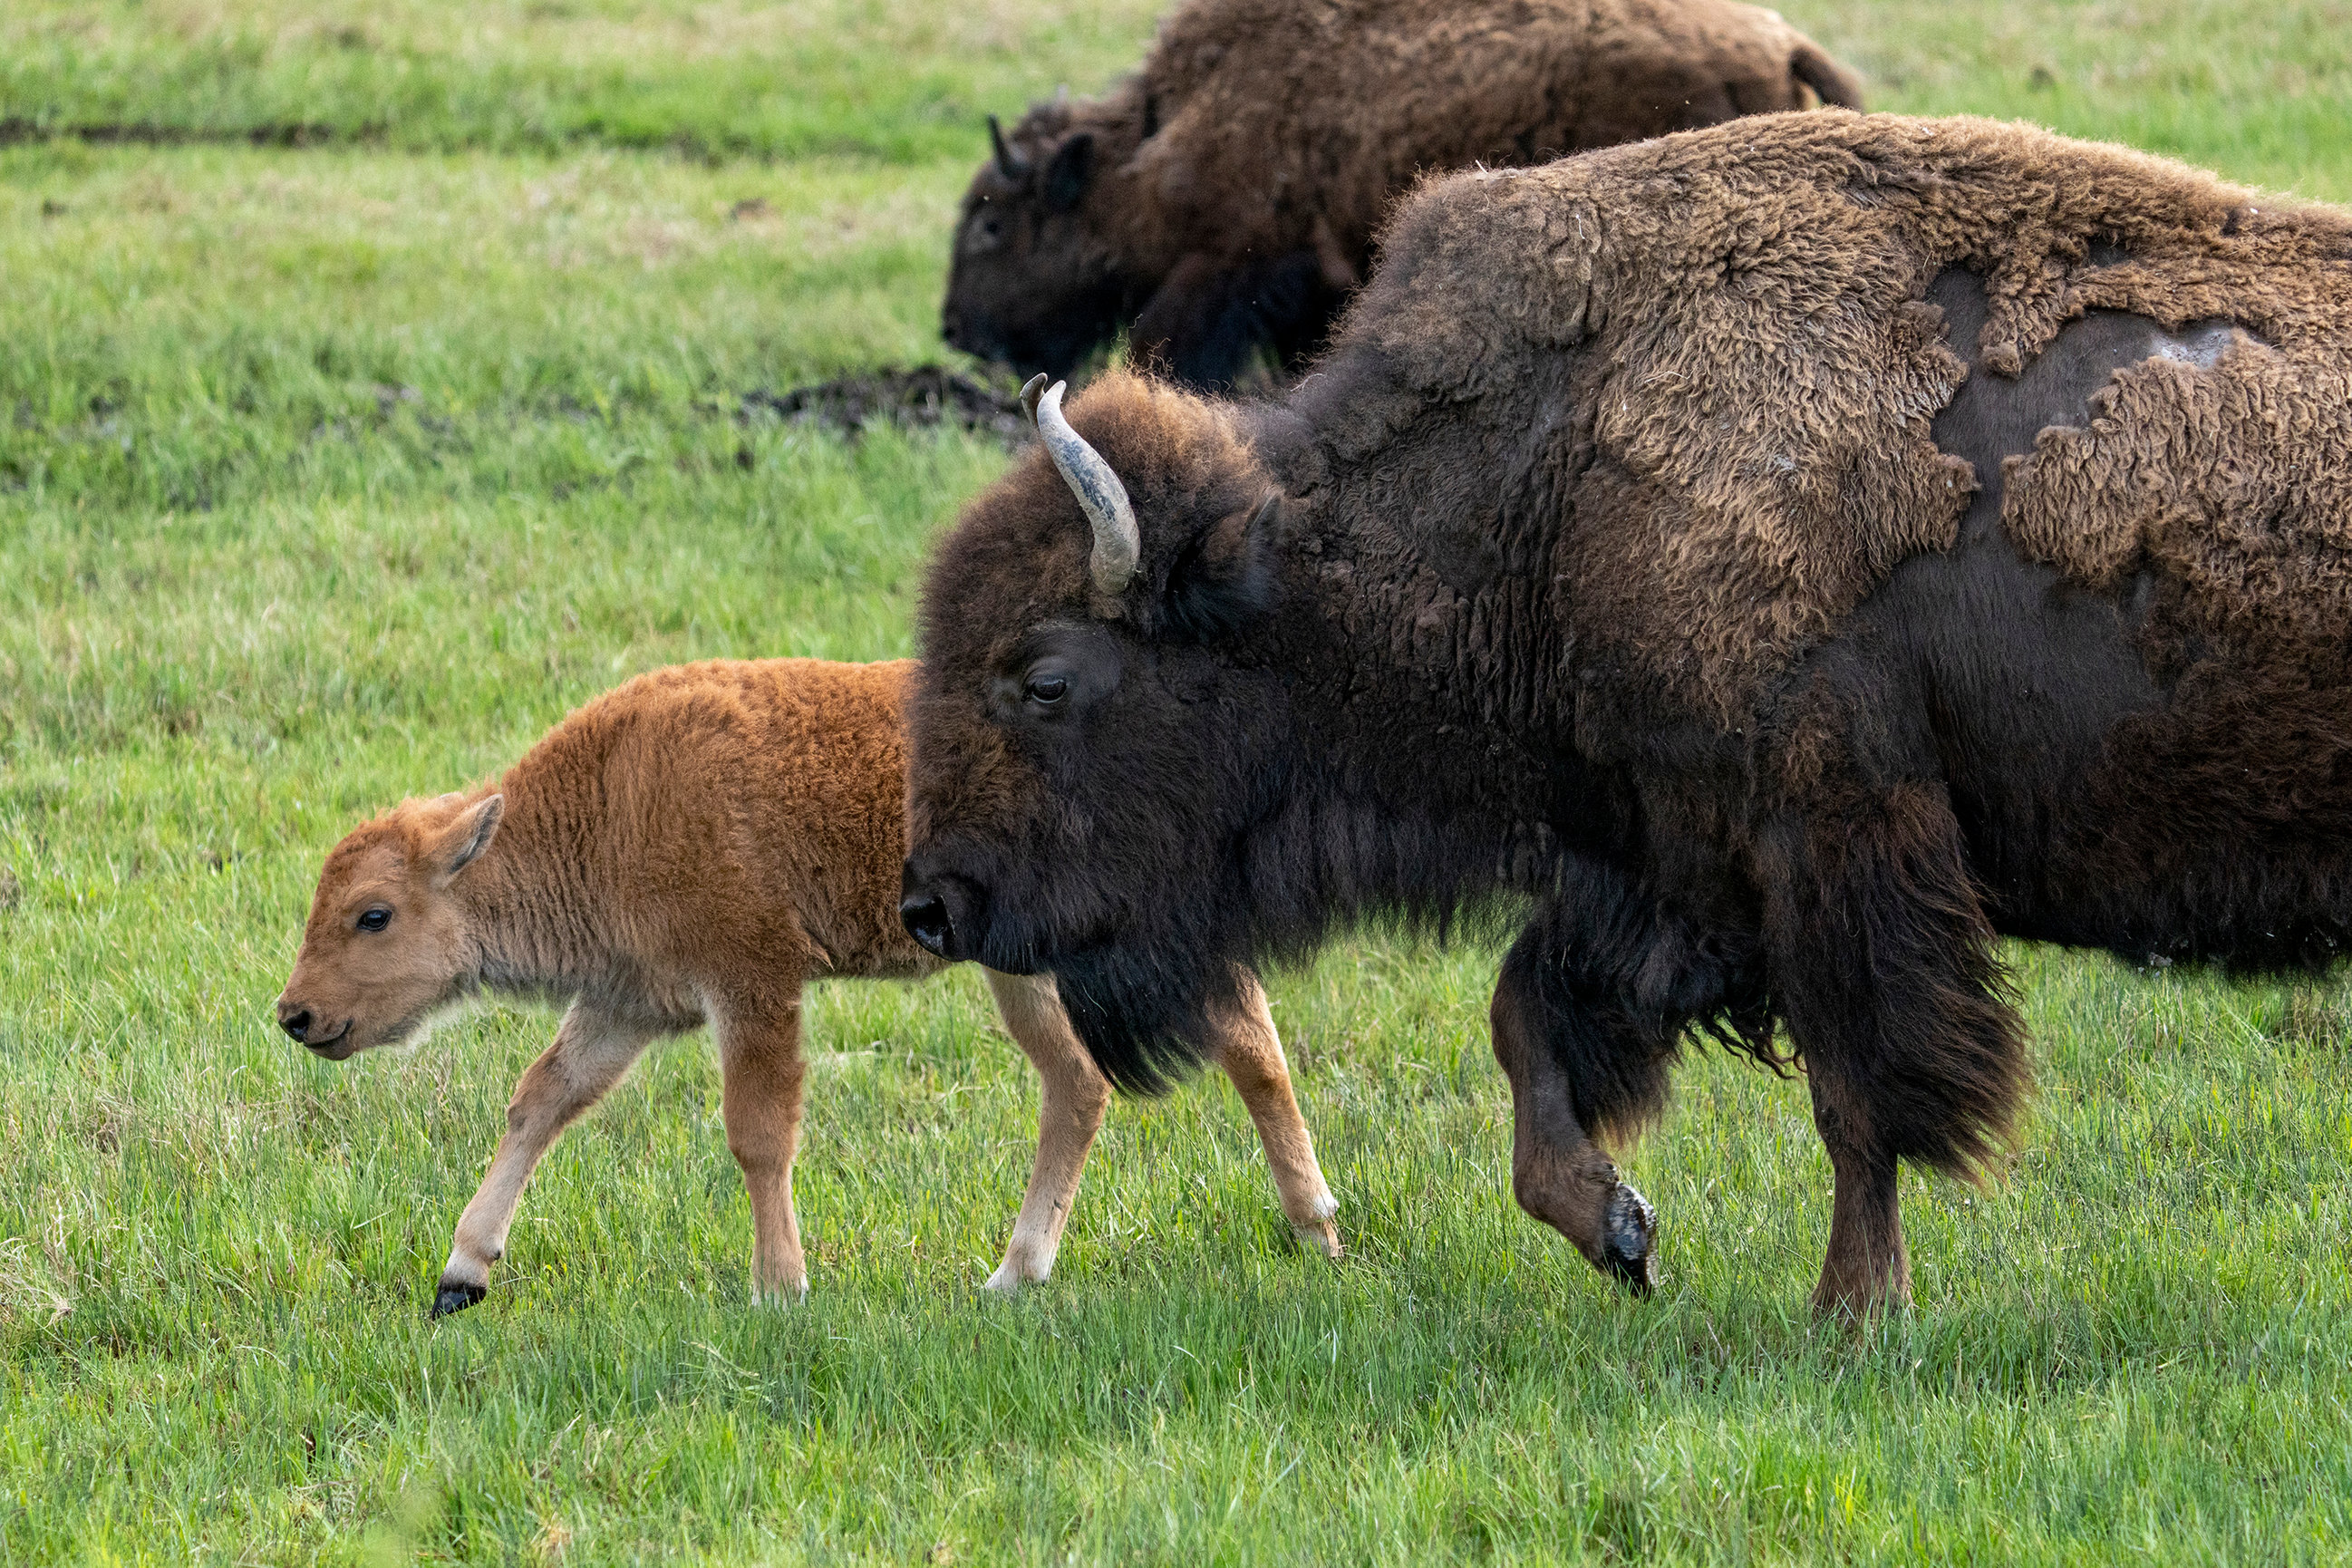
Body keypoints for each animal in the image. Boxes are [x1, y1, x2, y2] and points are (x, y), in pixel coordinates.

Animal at [270, 658, 1345, 1316]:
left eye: (373, 914)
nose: (295, 1014)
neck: (609, 804)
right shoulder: (628, 1001)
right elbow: (542, 1098)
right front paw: (461, 1275)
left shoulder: (752, 983)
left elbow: (758, 1131)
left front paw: (778, 1287)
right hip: (1028, 973)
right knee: (1080, 1084)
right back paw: (1013, 1274)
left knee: (1245, 1041)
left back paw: (1318, 1231)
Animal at [903, 107, 2352, 1316]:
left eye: (1043, 678)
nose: (933, 904)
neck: (1549, 462)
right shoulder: (1660, 857)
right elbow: (1528, 1019)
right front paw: (1621, 1230)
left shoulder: (1823, 847)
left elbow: (1858, 1097)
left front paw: (1849, 1313)